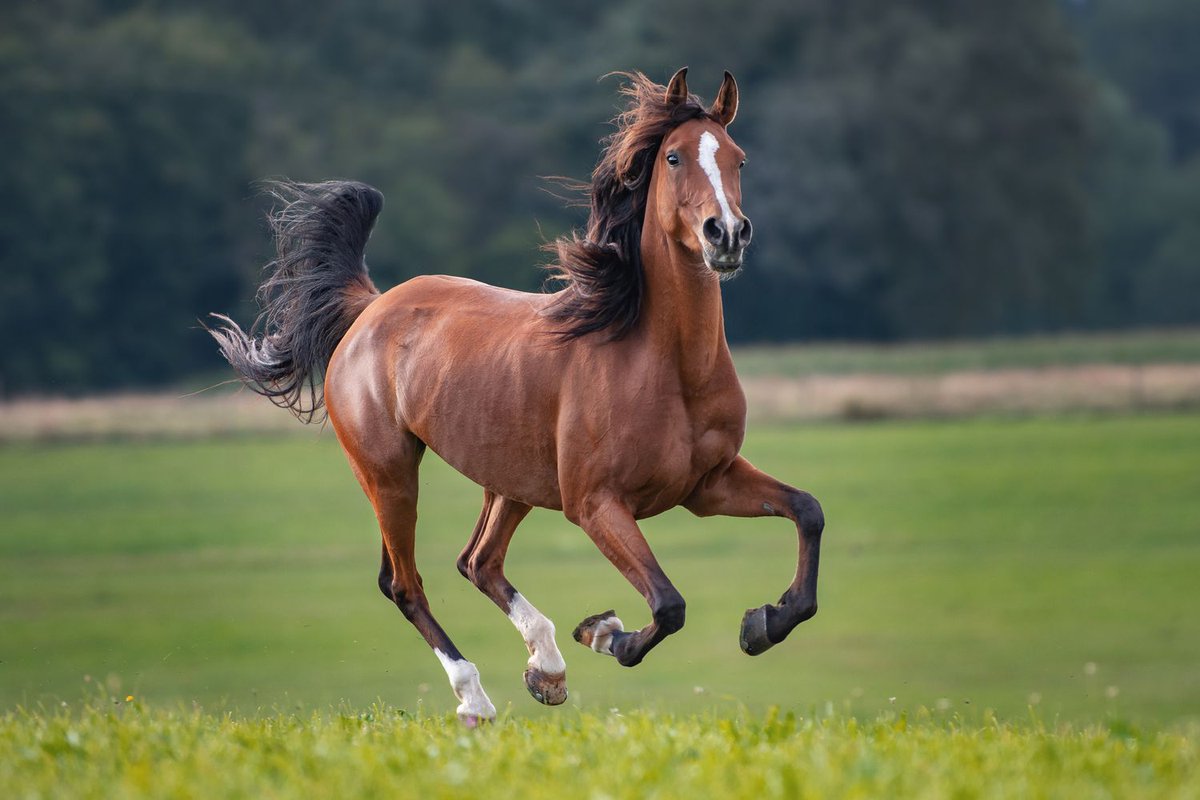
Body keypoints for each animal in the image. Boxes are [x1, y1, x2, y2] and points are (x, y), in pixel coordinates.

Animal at [208, 71, 825, 729]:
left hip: (510, 481)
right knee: (405, 582)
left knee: (478, 562)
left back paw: (546, 671)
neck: (664, 363)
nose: (726, 234)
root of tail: (370, 309)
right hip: (389, 473)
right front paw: (606, 633)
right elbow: (668, 604)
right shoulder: (596, 504)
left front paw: (763, 623)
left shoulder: (707, 486)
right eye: (674, 156)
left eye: (738, 158)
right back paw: (477, 698)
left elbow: (807, 511)